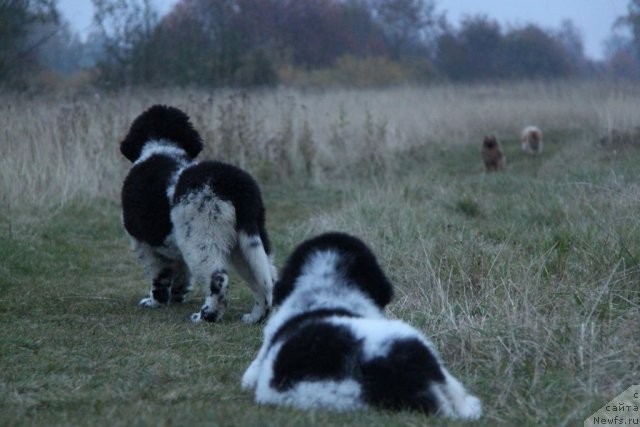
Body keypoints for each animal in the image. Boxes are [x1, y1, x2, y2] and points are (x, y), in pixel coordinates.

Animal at [120, 104, 276, 324]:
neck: (161, 146)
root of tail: (235, 185)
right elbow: (180, 274)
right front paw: (177, 296)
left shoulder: (145, 245)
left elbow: (159, 277)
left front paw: (154, 302)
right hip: (246, 241)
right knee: (266, 278)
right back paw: (256, 317)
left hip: (201, 239)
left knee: (218, 279)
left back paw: (206, 315)